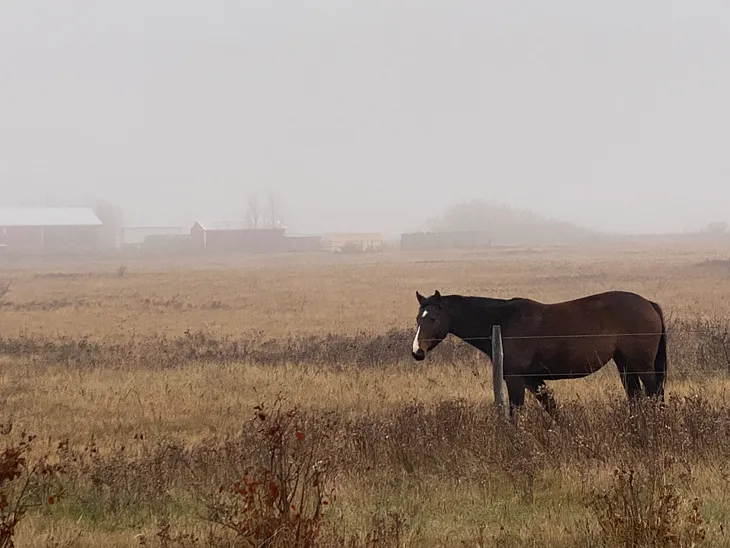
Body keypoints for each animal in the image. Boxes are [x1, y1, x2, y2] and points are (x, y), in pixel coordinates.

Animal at [410, 292, 664, 416]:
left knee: (655, 393)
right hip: (625, 365)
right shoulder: (533, 380)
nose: (417, 352)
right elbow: (553, 410)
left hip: (641, 364)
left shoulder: (515, 380)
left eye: (433, 318)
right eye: (418, 319)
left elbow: (515, 413)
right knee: (636, 397)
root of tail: (649, 304)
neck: (503, 321)